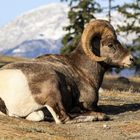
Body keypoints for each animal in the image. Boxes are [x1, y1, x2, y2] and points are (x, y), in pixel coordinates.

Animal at [0, 19, 135, 123]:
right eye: (110, 44)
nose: (131, 59)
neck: (83, 69)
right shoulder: (90, 104)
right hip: (53, 87)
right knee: (63, 119)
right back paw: (97, 117)